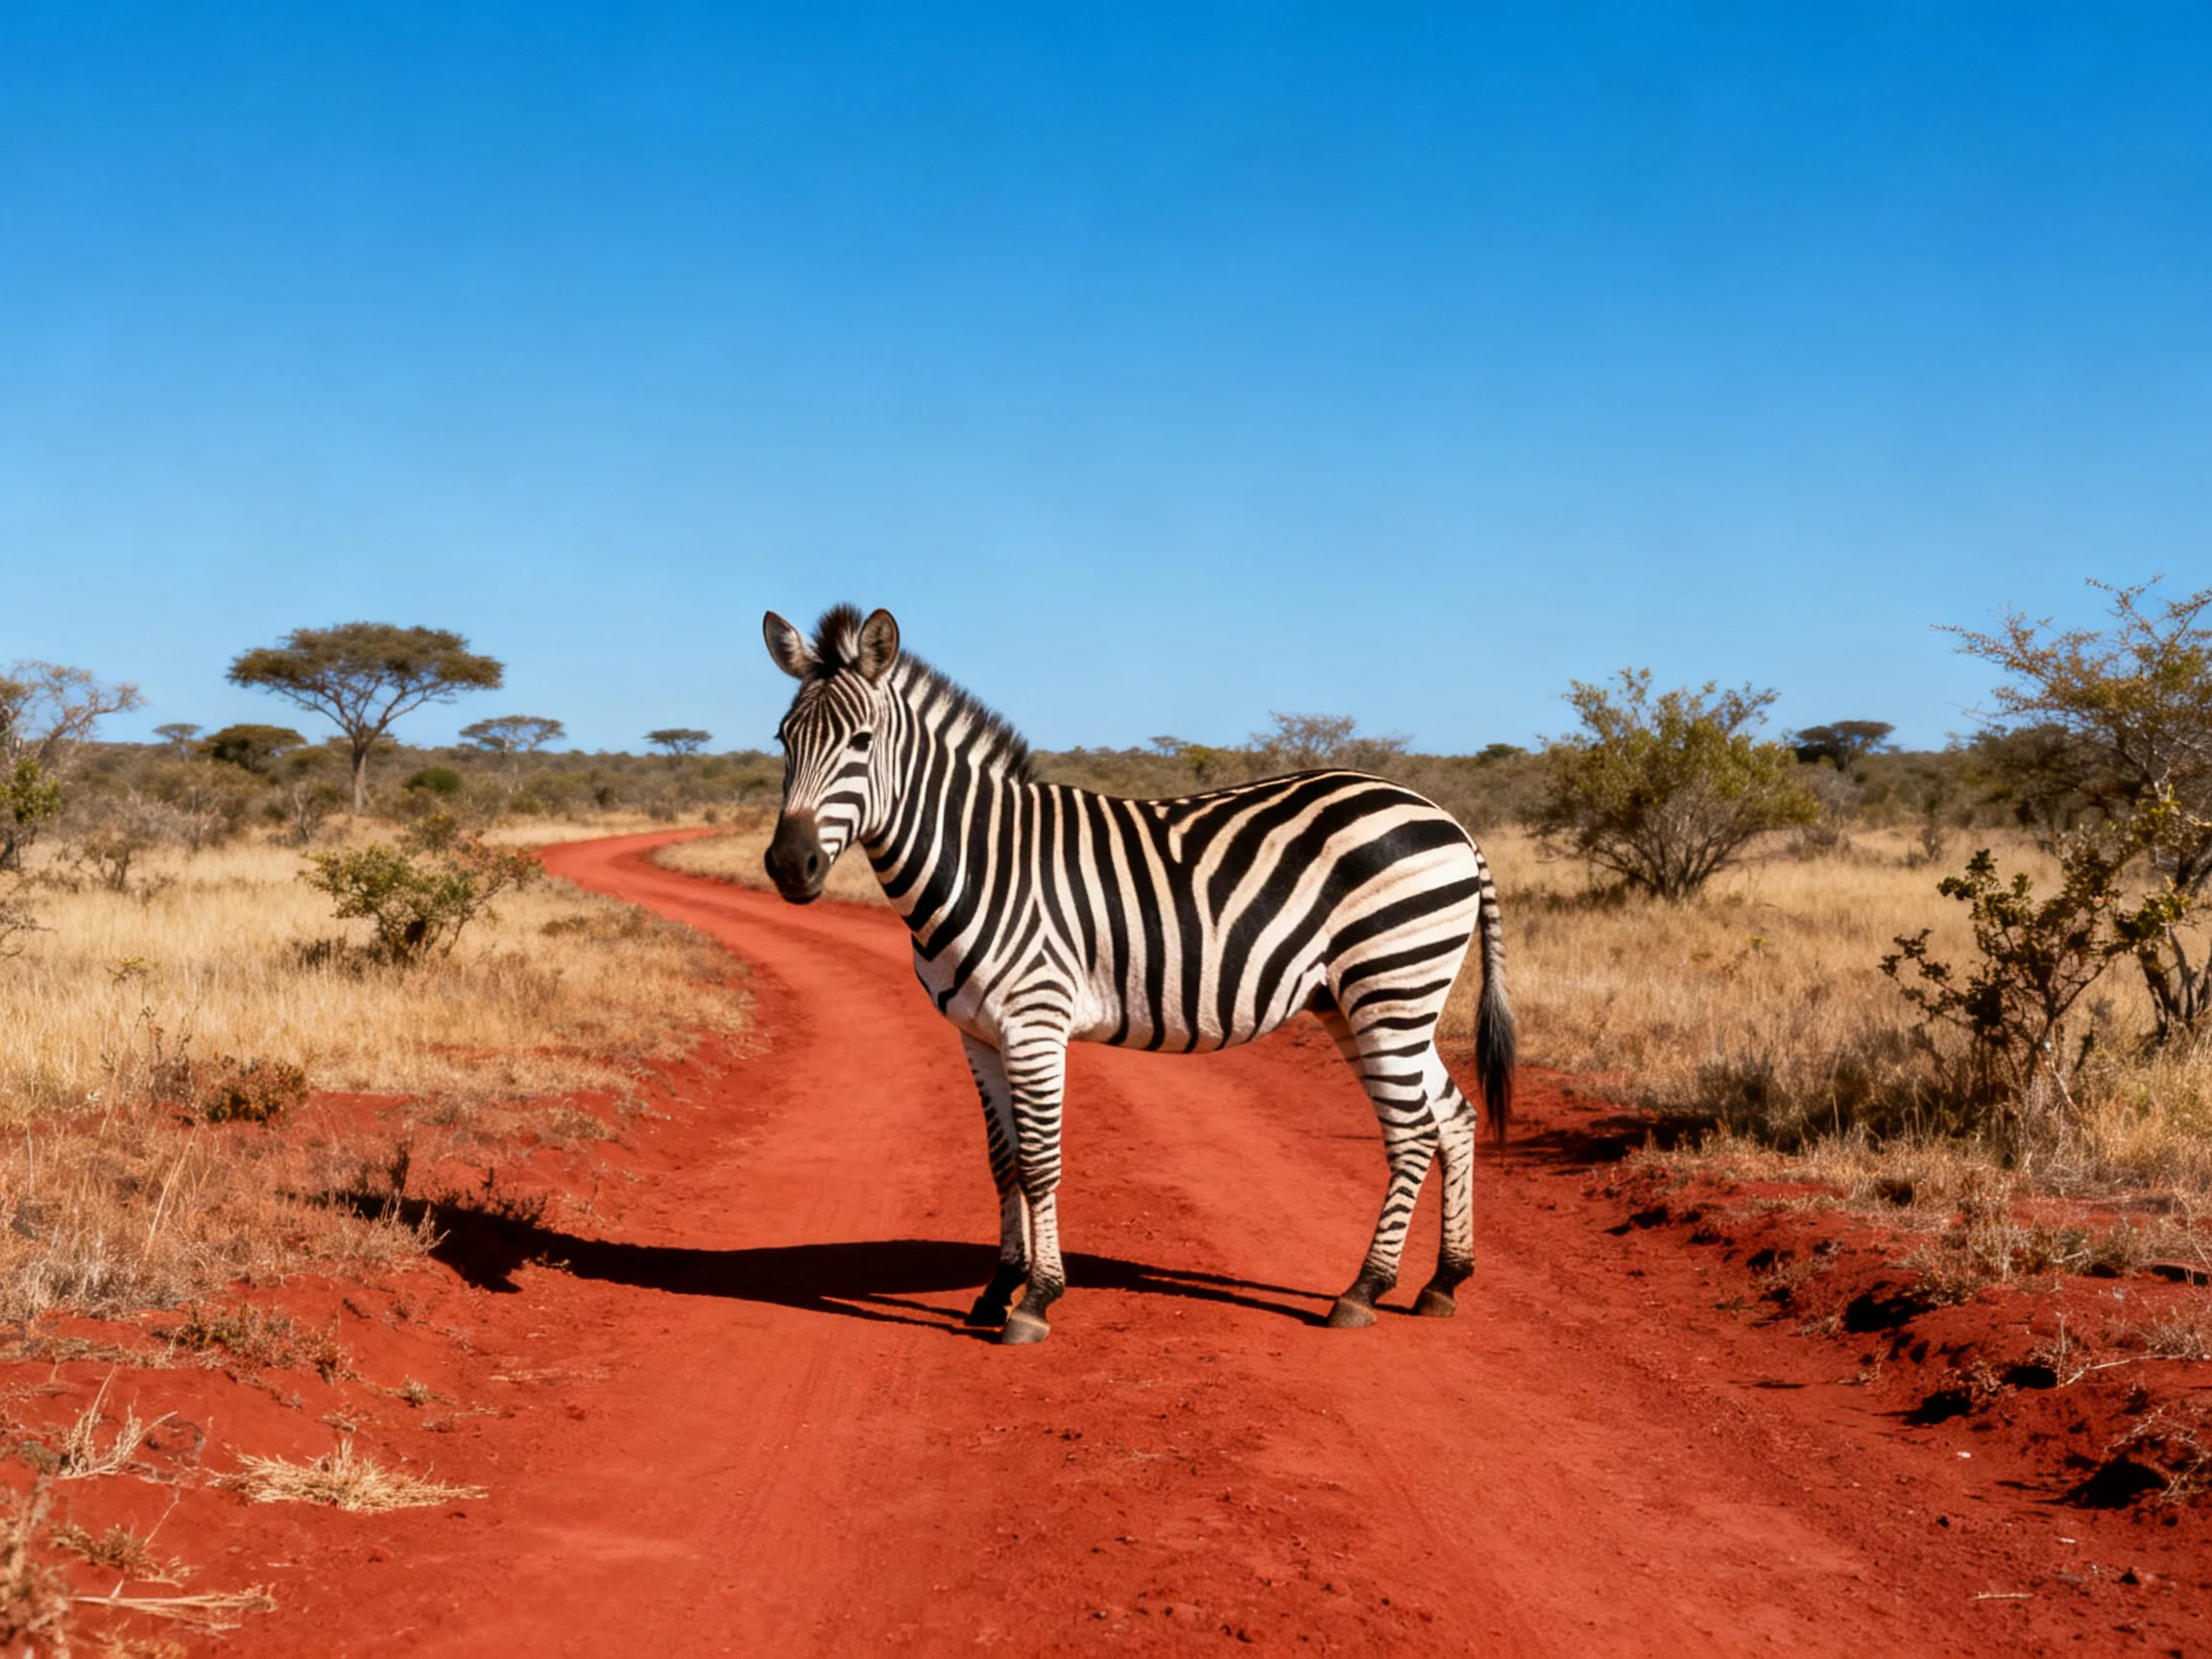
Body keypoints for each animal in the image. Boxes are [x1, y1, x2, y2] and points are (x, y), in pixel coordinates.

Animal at [761, 603, 1515, 1345]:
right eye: (782, 741)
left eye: (861, 742)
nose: (789, 866)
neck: (981, 862)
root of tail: (1446, 819)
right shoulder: (975, 1033)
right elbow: (1004, 1162)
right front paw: (997, 1289)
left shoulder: (1035, 1023)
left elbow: (1040, 1161)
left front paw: (1035, 1300)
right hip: (1363, 1001)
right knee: (1453, 1116)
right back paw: (1443, 1281)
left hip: (1390, 986)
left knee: (1412, 1131)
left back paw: (1363, 1291)